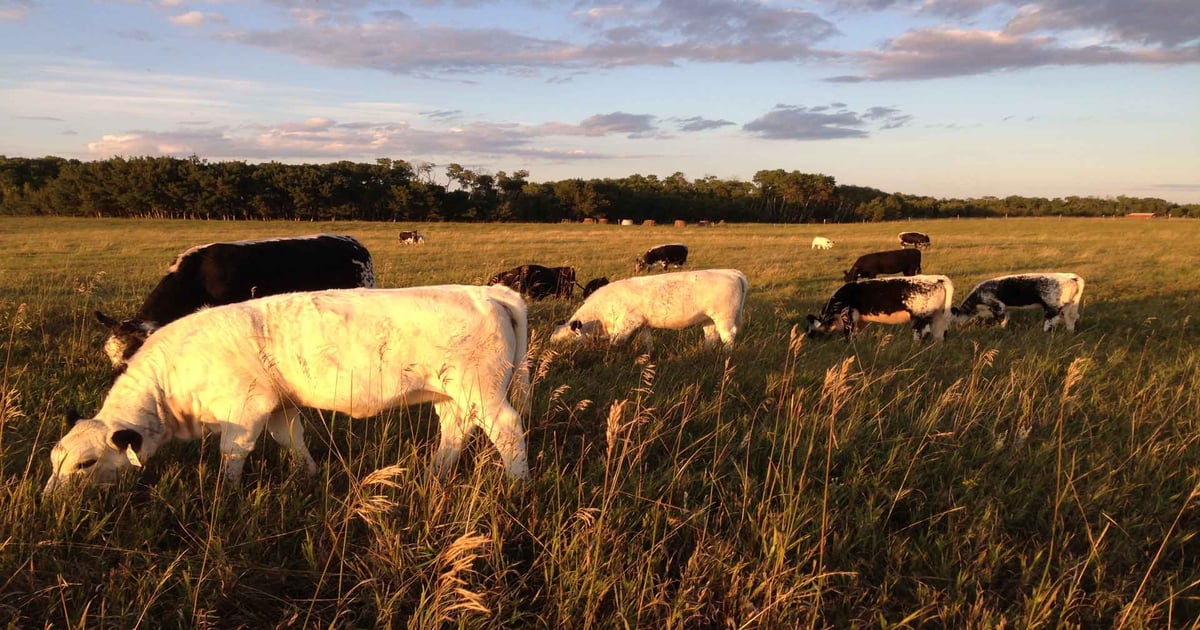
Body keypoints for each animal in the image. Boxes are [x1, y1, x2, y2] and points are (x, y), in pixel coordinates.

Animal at [43, 285, 532, 496]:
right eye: (54, 459)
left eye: (86, 464)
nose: (48, 499)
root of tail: (486, 291)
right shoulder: (280, 406)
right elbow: (291, 440)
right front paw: (310, 475)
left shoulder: (245, 408)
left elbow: (233, 452)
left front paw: (226, 493)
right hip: (452, 396)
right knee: (455, 431)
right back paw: (435, 474)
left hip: (483, 393)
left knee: (508, 432)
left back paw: (518, 484)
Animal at [551, 269, 748, 349]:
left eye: (567, 341)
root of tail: (731, 272)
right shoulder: (642, 325)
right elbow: (647, 342)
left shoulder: (628, 324)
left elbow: (616, 343)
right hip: (708, 319)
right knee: (711, 337)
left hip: (724, 318)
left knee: (728, 337)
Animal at [806, 275, 954, 343]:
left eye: (809, 328)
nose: (808, 338)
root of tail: (936, 278)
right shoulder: (861, 321)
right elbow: (859, 334)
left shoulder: (848, 316)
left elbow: (850, 335)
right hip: (938, 316)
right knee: (939, 335)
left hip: (920, 317)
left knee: (922, 333)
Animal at [950, 273, 1085, 332]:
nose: (957, 326)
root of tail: (1071, 277)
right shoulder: (1005, 308)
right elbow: (1006, 318)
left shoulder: (997, 305)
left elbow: (1000, 319)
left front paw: (999, 329)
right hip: (1069, 306)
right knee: (1072, 318)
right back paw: (1070, 331)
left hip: (1052, 307)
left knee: (1051, 320)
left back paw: (1045, 332)